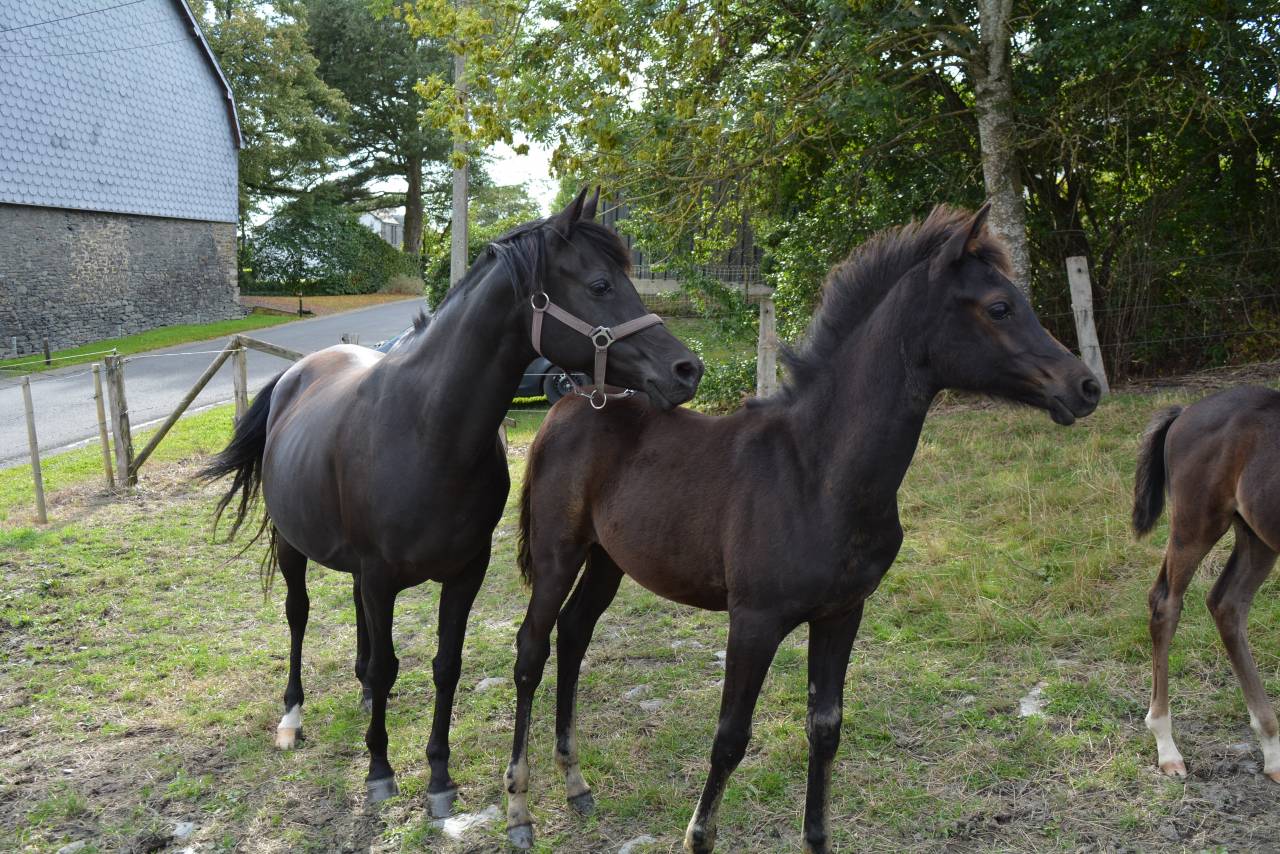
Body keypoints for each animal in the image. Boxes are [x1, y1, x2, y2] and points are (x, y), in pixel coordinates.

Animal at [199, 188, 703, 812]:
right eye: (600, 284)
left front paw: (438, 776)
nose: (687, 368)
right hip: (294, 546)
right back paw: (293, 716)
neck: (425, 430)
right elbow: (389, 665)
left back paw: (362, 698)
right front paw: (380, 770)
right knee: (299, 614)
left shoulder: (464, 573)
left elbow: (446, 665)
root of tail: (297, 373)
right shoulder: (381, 575)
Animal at [503, 204, 1102, 853]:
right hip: (559, 554)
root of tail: (569, 402)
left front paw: (816, 837)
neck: (817, 472)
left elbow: (826, 728)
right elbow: (730, 736)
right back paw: (520, 810)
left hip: (608, 559)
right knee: (533, 647)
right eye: (998, 307)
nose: (1086, 386)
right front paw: (697, 836)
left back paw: (576, 785)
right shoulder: (754, 620)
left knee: (574, 635)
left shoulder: (842, 613)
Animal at [1133, 385, 1280, 783]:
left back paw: (1273, 751)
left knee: (1227, 604)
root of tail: (1186, 412)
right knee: (1165, 602)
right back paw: (1167, 746)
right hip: (1197, 520)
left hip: (1256, 535)